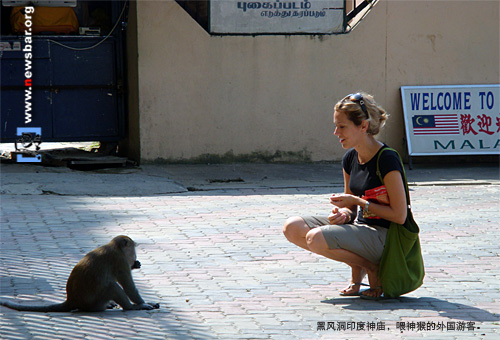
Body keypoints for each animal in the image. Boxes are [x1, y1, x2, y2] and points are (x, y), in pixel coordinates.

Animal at [0, 235, 159, 312]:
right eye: (133, 250)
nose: (135, 259)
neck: (115, 247)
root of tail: (72, 300)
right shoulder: (120, 261)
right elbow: (128, 287)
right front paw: (142, 304)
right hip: (93, 302)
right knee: (111, 286)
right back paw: (130, 307)